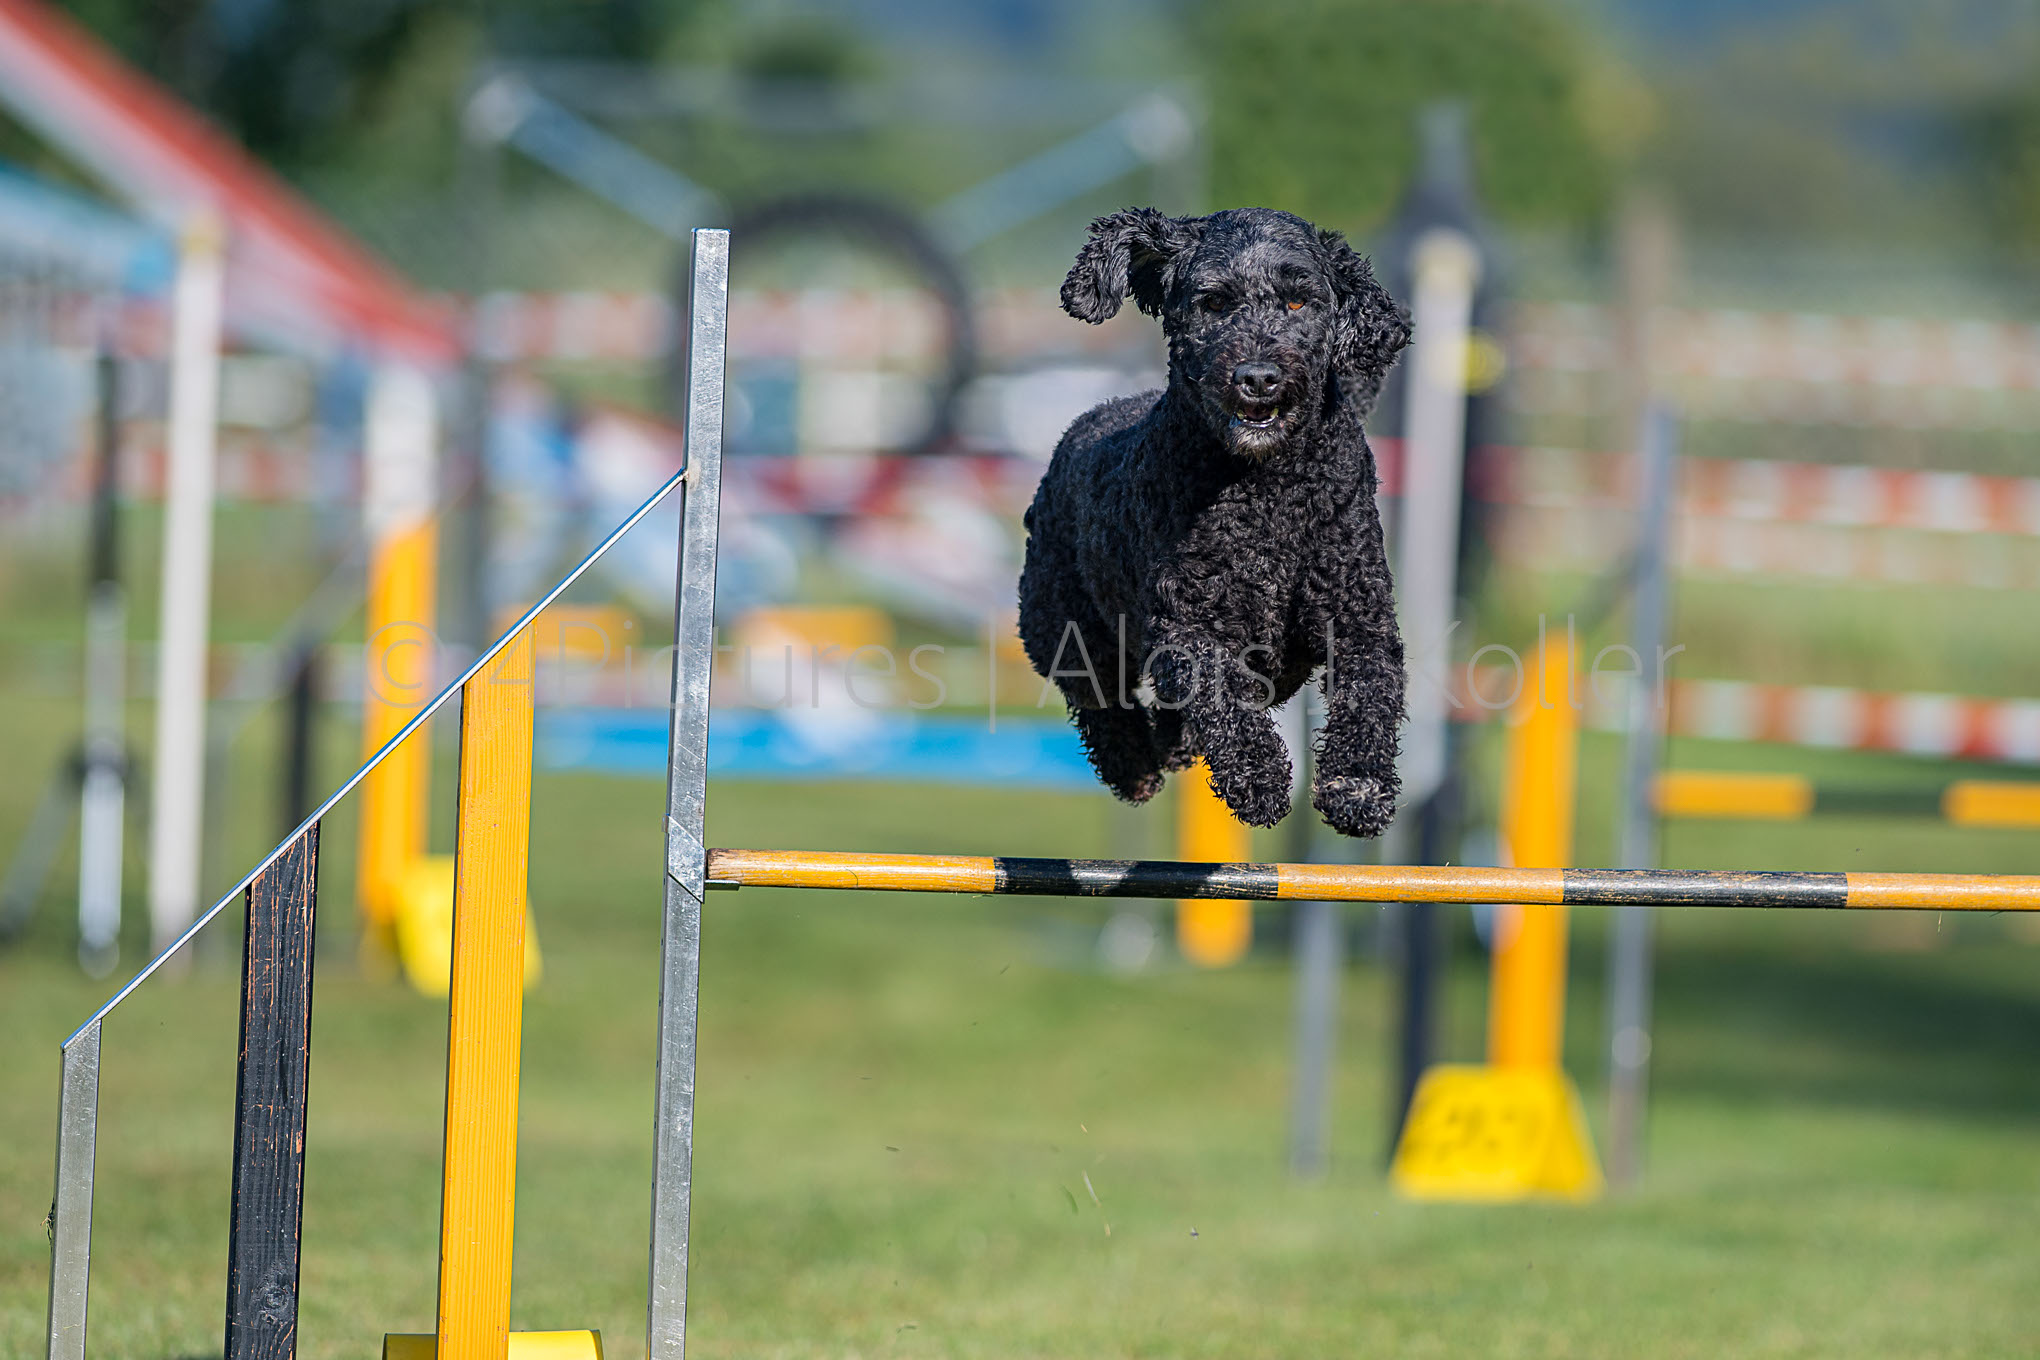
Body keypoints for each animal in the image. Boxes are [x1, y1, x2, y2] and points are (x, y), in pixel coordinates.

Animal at [1017, 207, 1412, 836]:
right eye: (1214, 302)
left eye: (1298, 301)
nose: (1259, 377)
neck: (1268, 495)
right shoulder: (1190, 624)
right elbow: (1217, 693)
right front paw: (1259, 780)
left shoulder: (1357, 615)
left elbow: (1368, 694)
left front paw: (1357, 786)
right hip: (1062, 627)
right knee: (1101, 700)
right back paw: (1135, 766)